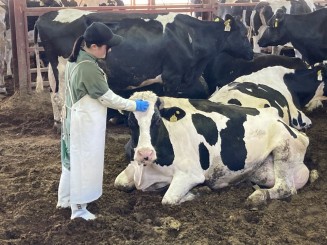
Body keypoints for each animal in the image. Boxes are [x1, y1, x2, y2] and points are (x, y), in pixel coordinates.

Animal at [34, 9, 254, 128]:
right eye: (244, 34)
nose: (252, 54)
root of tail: (44, 16)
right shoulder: (172, 77)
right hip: (63, 67)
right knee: (60, 97)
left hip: (53, 69)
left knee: (52, 93)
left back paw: (56, 121)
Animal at [114, 91, 310, 206]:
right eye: (130, 121)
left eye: (156, 120)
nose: (144, 154)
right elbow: (119, 183)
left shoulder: (190, 174)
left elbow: (168, 199)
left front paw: (199, 191)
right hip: (262, 172)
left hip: (284, 149)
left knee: (286, 188)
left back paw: (258, 196)